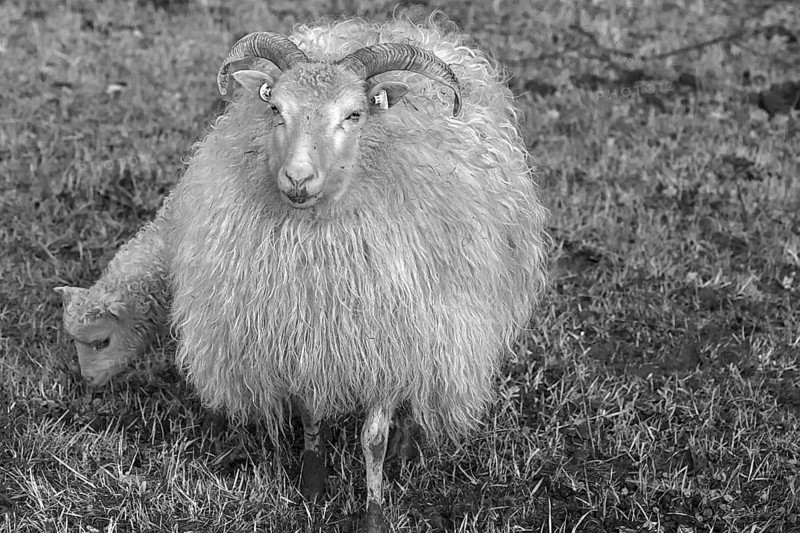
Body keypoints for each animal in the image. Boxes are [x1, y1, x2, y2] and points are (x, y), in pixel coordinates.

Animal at [166, 14, 548, 532]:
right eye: (276, 108)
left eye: (354, 114)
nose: (297, 179)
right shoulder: (306, 336)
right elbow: (311, 414)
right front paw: (312, 488)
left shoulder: (388, 341)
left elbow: (372, 437)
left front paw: (374, 512)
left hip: (435, 326)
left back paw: (406, 446)